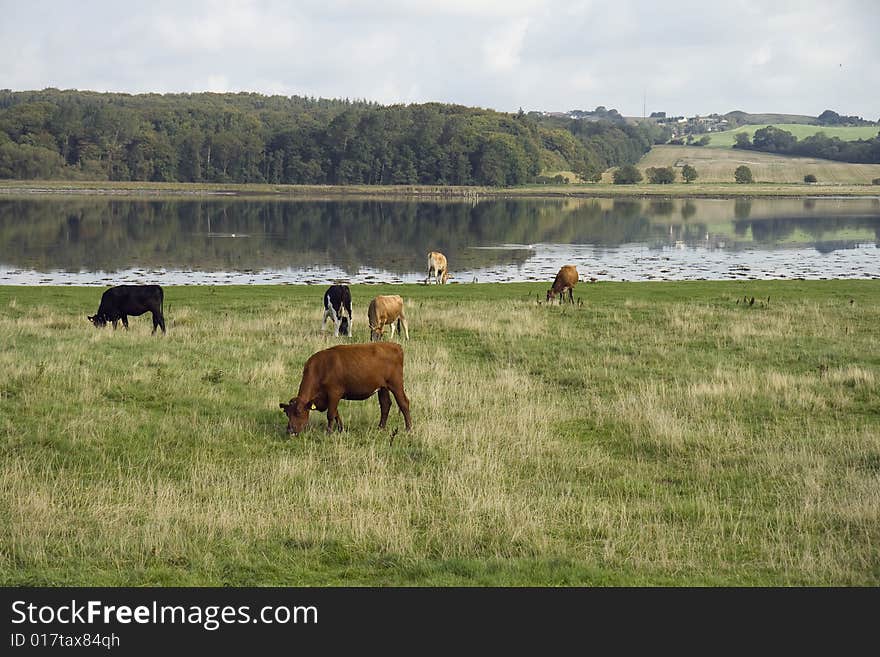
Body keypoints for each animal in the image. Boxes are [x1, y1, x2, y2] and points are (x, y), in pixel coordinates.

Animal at [280, 340, 414, 434]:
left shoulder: (334, 392)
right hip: (382, 387)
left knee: (403, 403)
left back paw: (408, 429)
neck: (320, 368)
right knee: (385, 405)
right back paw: (380, 427)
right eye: (287, 413)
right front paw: (341, 429)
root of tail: (394, 345)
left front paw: (328, 432)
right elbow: (336, 413)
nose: (289, 430)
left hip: (396, 384)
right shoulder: (329, 397)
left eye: (298, 412)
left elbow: (330, 414)